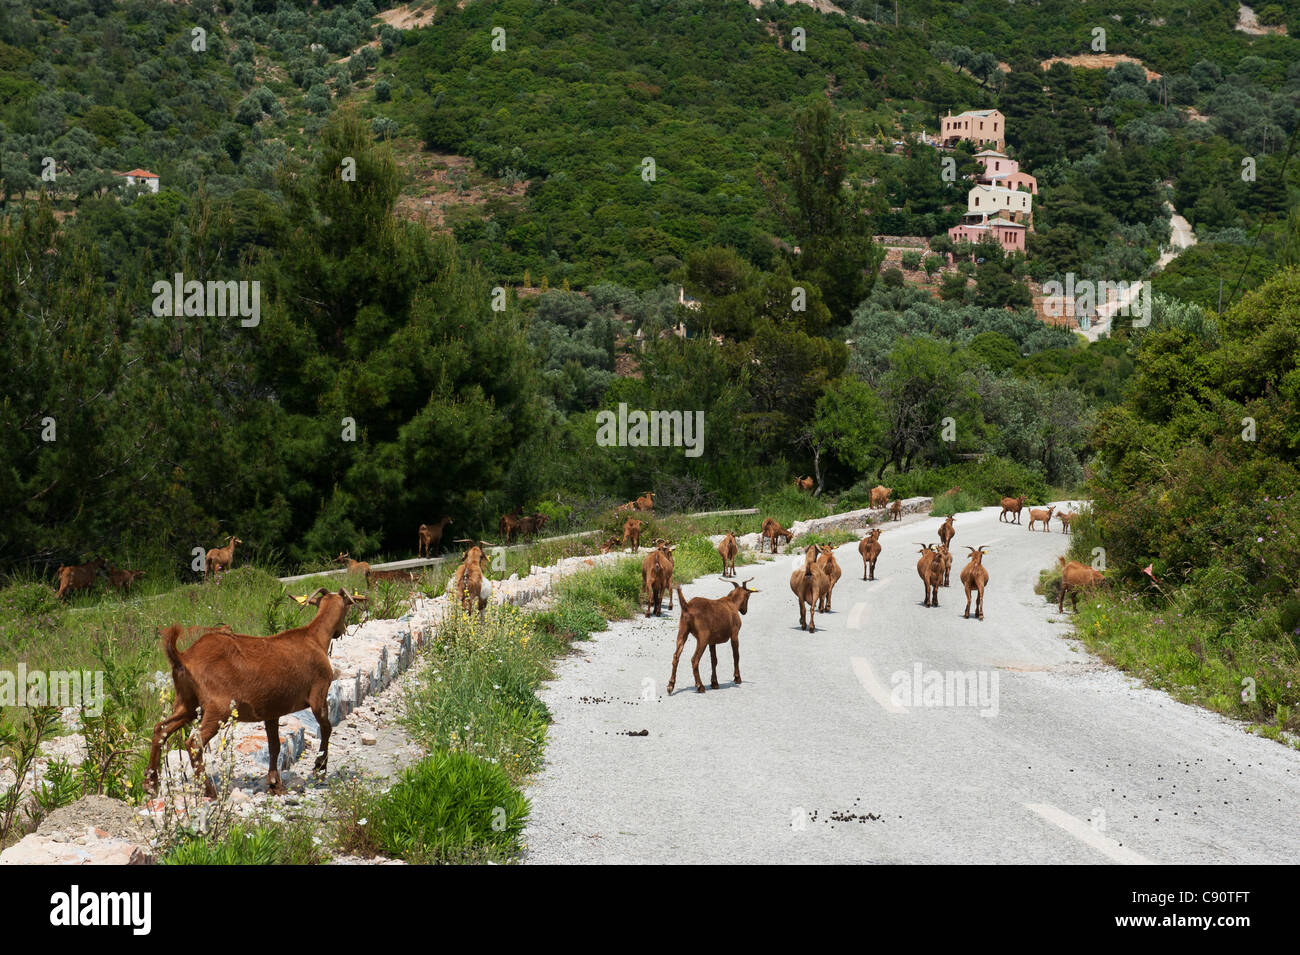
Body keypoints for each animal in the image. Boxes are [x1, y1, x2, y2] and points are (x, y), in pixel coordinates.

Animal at [149, 589, 369, 800]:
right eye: (347, 608)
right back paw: (208, 791)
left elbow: (274, 746)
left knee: (160, 729)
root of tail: (183, 657)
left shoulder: (271, 710)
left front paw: (274, 784)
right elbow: (326, 728)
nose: (340, 632)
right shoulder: (319, 693)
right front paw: (319, 768)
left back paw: (150, 784)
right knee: (194, 742)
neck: (313, 638)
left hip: (187, 704)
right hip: (218, 708)